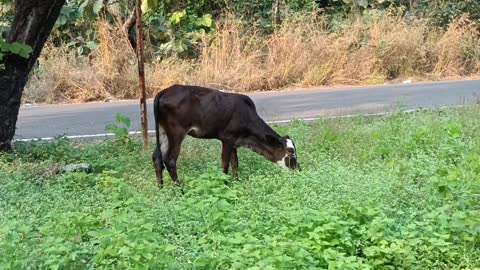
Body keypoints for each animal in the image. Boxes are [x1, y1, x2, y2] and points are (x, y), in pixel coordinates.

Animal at [152, 84, 298, 188]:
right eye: (291, 152)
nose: (298, 168)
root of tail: (164, 91)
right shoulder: (227, 139)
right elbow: (225, 166)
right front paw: (225, 185)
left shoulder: (234, 142)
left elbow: (235, 164)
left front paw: (236, 182)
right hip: (176, 133)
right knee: (170, 160)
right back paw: (180, 191)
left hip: (162, 132)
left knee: (156, 157)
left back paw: (161, 189)